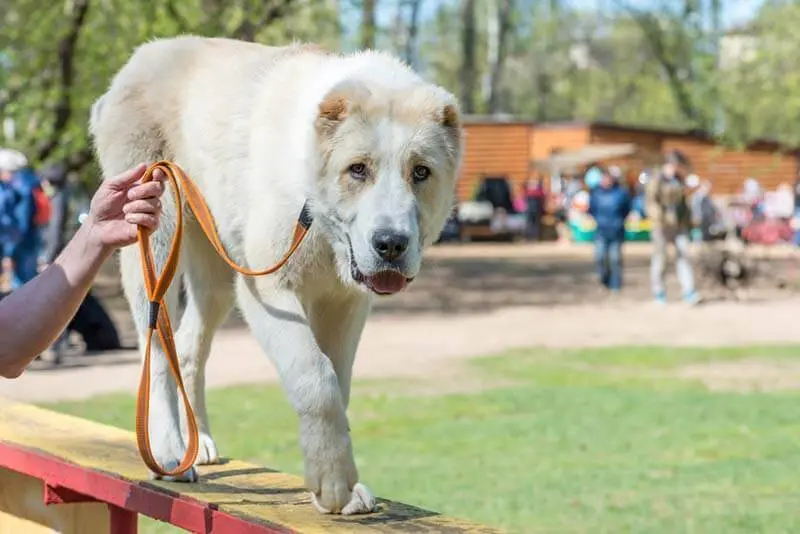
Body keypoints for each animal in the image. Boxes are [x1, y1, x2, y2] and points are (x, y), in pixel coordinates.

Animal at [89, 36, 462, 516]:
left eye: (421, 172)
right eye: (358, 169)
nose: (391, 244)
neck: (317, 216)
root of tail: (137, 62)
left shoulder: (345, 304)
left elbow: (339, 384)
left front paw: (341, 484)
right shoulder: (267, 289)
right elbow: (316, 377)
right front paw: (334, 483)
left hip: (216, 274)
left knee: (186, 347)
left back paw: (199, 443)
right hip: (156, 235)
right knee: (155, 341)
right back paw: (170, 451)